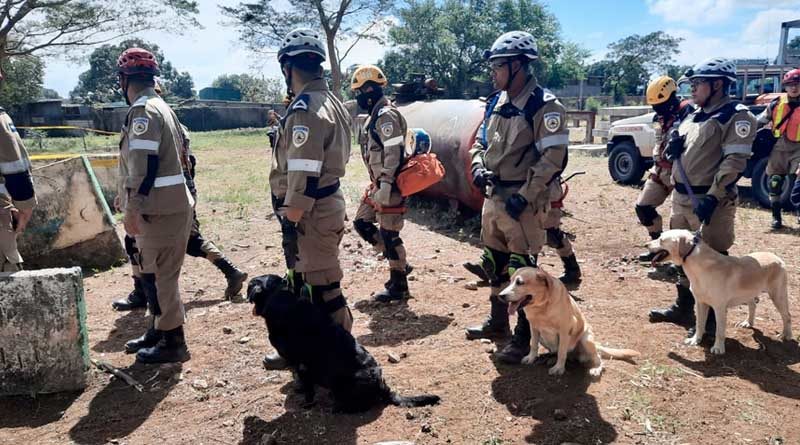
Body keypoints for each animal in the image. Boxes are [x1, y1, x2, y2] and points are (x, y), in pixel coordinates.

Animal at [248, 274, 440, 412]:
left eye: (250, 285)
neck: (280, 297)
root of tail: (383, 387)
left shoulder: (300, 362)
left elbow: (308, 387)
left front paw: (307, 401)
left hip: (341, 383)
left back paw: (338, 408)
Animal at [496, 266, 640, 376]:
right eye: (510, 281)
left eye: (520, 282)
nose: (500, 296)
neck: (542, 306)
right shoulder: (534, 327)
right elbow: (533, 345)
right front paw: (531, 358)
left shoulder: (565, 331)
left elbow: (562, 352)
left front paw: (559, 368)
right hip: (544, 338)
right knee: (555, 352)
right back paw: (548, 358)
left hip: (586, 339)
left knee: (597, 357)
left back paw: (596, 368)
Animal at [648, 229, 792, 354]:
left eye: (661, 240)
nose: (646, 244)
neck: (700, 268)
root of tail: (777, 257)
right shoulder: (700, 303)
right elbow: (699, 324)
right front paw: (695, 340)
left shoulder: (719, 308)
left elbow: (719, 331)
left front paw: (718, 348)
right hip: (749, 294)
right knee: (753, 305)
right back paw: (748, 323)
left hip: (777, 295)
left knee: (787, 316)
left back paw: (786, 335)